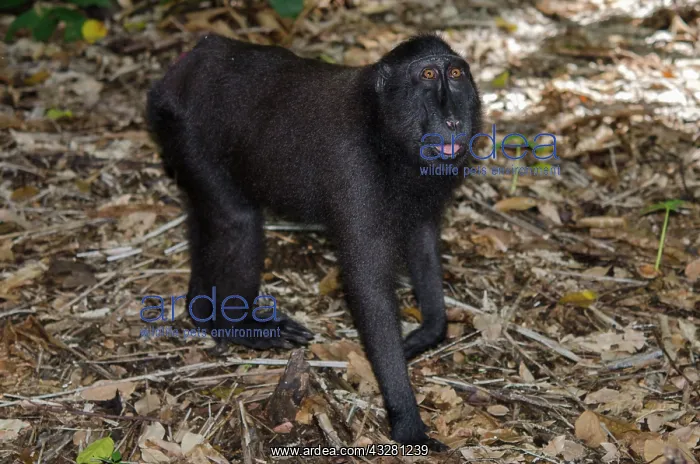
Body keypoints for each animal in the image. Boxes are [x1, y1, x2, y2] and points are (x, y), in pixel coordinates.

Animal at [146, 33, 482, 450]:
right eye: (428, 75)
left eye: (456, 74)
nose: (453, 119)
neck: (382, 128)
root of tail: (186, 62)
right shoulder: (355, 172)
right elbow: (367, 285)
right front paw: (407, 423)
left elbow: (422, 241)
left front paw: (428, 332)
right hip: (186, 133)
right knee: (236, 221)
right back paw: (235, 327)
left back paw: (202, 310)